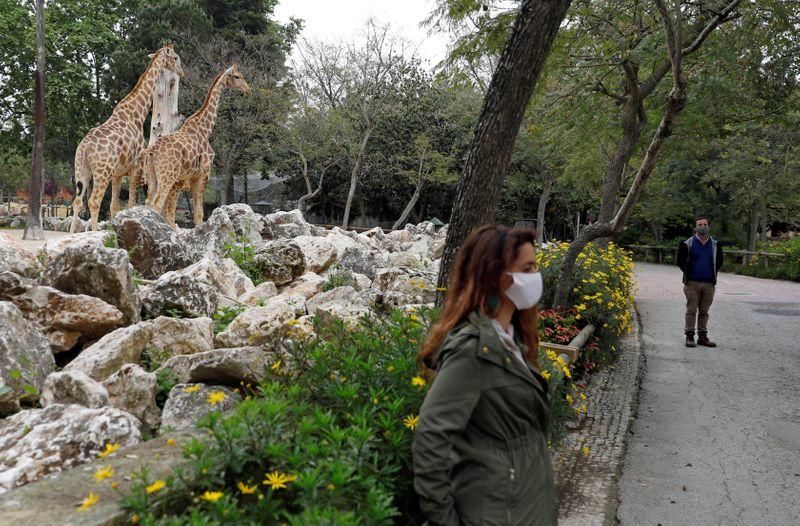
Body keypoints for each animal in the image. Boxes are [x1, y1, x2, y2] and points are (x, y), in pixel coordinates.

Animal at [69, 46, 184, 233]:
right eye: (175, 57)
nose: (181, 72)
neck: (137, 113)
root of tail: (85, 147)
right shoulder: (136, 166)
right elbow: (130, 204)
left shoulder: (117, 174)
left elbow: (114, 206)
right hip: (102, 171)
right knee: (93, 201)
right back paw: (94, 233)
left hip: (82, 169)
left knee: (78, 202)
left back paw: (72, 235)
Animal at [147, 64, 250, 229]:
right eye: (237, 76)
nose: (248, 90)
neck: (205, 129)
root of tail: (152, 151)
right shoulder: (203, 174)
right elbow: (199, 213)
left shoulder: (190, 177)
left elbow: (191, 213)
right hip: (167, 175)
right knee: (157, 204)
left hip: (153, 176)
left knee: (149, 204)